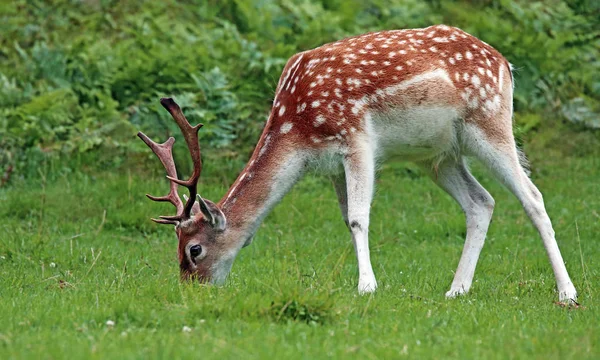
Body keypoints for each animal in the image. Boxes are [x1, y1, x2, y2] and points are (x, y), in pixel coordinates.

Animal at [138, 23, 580, 302]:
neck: (297, 126)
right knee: (481, 201)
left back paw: (567, 293)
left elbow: (358, 216)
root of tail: (506, 63)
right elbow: (345, 216)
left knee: (533, 196)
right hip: (438, 156)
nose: (191, 290)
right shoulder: (331, 163)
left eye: (194, 250)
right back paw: (456, 289)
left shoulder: (357, 140)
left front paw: (367, 286)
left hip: (490, 121)